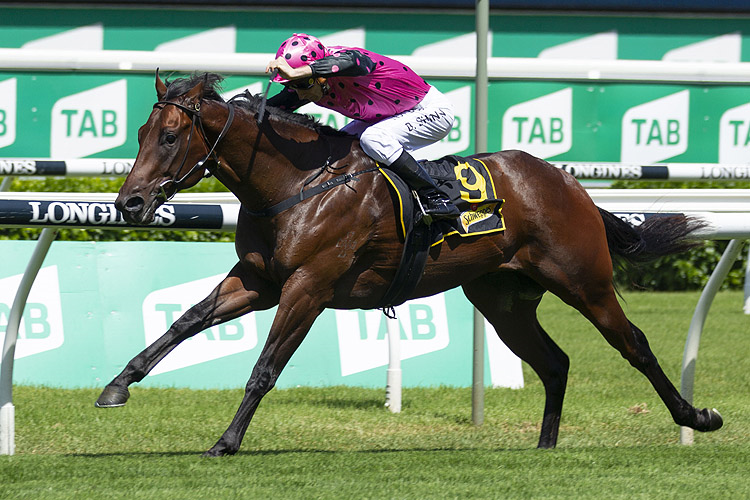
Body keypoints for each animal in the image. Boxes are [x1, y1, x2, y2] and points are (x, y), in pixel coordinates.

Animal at [95, 71, 724, 458]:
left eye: (169, 136)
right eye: (140, 131)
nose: (129, 203)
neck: (297, 183)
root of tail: (567, 181)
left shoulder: (308, 286)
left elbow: (265, 367)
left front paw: (226, 441)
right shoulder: (258, 279)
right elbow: (185, 321)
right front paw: (117, 385)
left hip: (584, 281)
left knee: (634, 344)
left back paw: (696, 418)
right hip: (501, 299)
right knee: (555, 361)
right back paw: (545, 446)